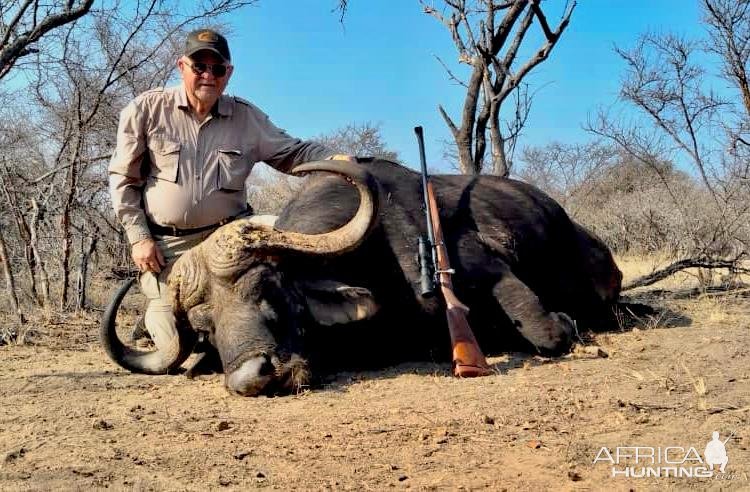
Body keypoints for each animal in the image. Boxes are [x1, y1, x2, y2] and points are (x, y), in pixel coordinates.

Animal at [103, 158, 624, 396]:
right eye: (206, 328)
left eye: (269, 290)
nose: (253, 378)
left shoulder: (490, 270)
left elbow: (546, 330)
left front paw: (564, 325)